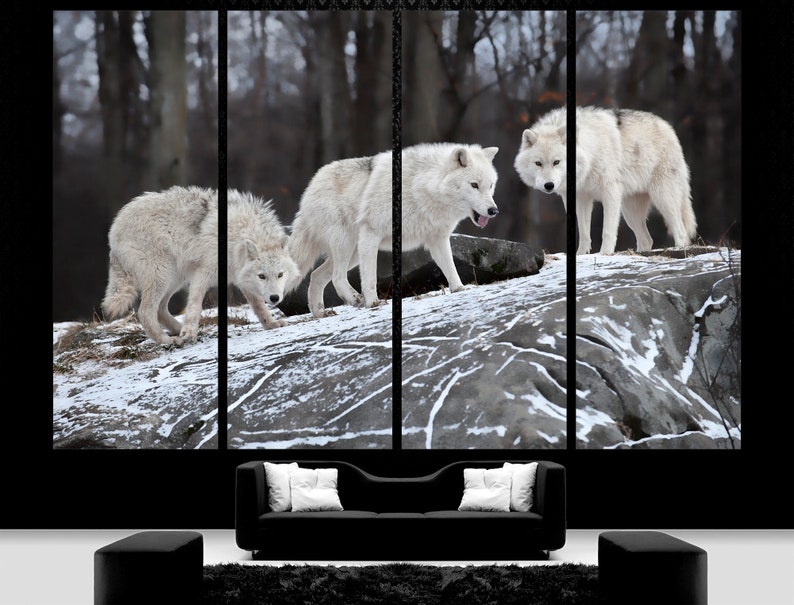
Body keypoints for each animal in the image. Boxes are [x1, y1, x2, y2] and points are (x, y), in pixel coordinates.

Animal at [101, 185, 299, 345]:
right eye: (262, 276)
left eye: (280, 274)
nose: (275, 298)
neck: (236, 236)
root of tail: (114, 229)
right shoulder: (203, 273)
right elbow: (195, 305)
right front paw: (189, 332)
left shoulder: (241, 278)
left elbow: (259, 306)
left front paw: (271, 324)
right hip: (163, 275)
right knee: (145, 312)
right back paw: (168, 340)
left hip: (174, 278)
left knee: (160, 310)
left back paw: (177, 329)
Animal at [287, 143, 499, 318]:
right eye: (474, 185)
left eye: (490, 186)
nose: (494, 211)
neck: (420, 187)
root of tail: (311, 187)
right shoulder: (371, 234)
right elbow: (370, 277)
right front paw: (373, 302)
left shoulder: (437, 239)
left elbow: (450, 268)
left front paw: (459, 289)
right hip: (347, 245)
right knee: (337, 277)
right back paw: (355, 300)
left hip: (353, 253)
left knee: (317, 275)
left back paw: (320, 313)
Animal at [514, 106, 697, 254]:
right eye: (538, 163)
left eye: (556, 162)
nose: (549, 185)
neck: (590, 155)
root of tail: (668, 127)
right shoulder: (580, 199)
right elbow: (584, 233)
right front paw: (581, 254)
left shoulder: (610, 193)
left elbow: (607, 231)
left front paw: (605, 253)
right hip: (630, 212)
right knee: (647, 239)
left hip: (662, 198)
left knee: (680, 231)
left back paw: (679, 250)